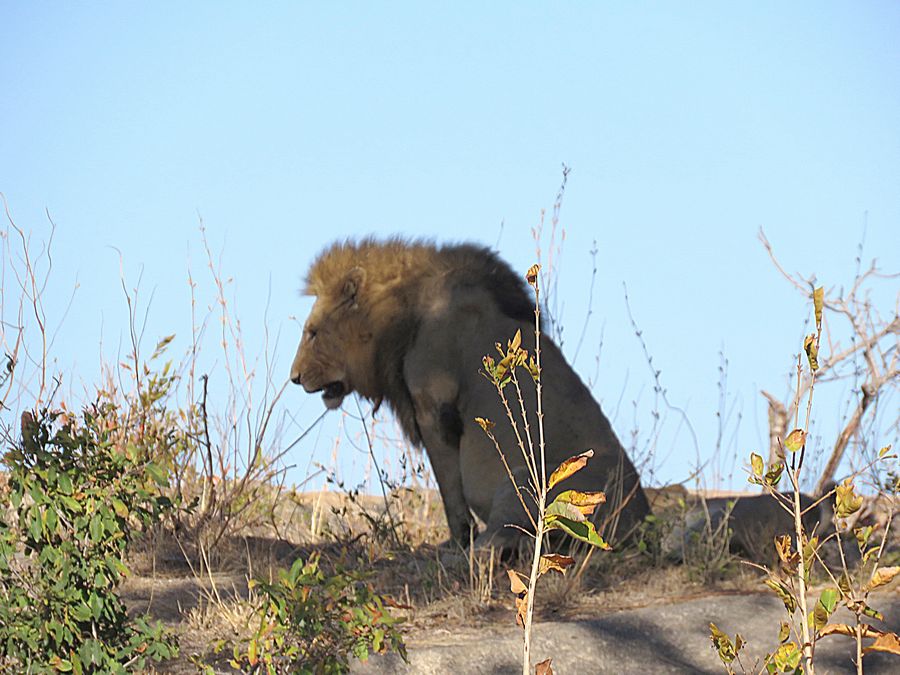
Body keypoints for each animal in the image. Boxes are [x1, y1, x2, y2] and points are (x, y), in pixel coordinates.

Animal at [290, 238, 650, 549]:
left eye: (313, 333)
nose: (294, 378)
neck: (401, 315)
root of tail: (640, 524)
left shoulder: (433, 411)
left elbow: (450, 487)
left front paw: (457, 541)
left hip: (527, 479)